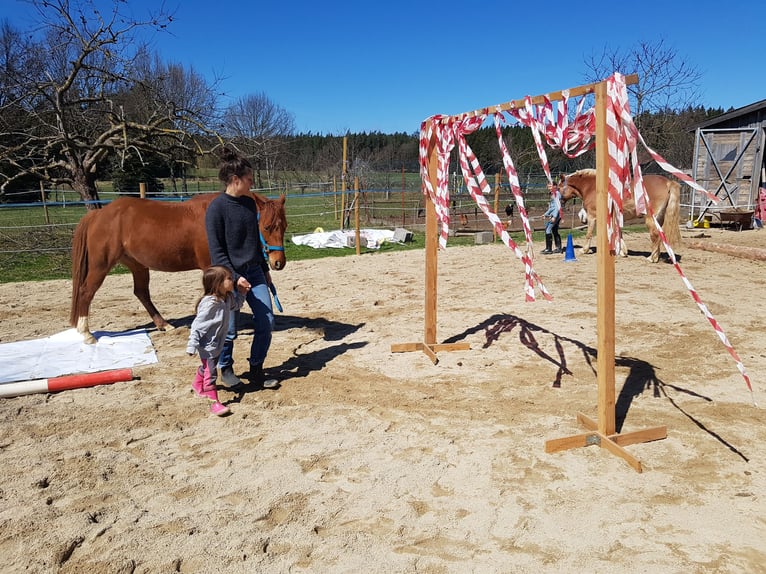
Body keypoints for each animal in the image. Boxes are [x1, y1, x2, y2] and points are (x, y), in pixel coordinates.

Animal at [70, 194, 288, 346]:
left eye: (284, 226)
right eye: (267, 227)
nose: (279, 263)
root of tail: (98, 214)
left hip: (137, 265)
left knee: (141, 292)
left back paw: (164, 325)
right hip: (101, 265)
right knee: (86, 291)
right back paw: (87, 334)